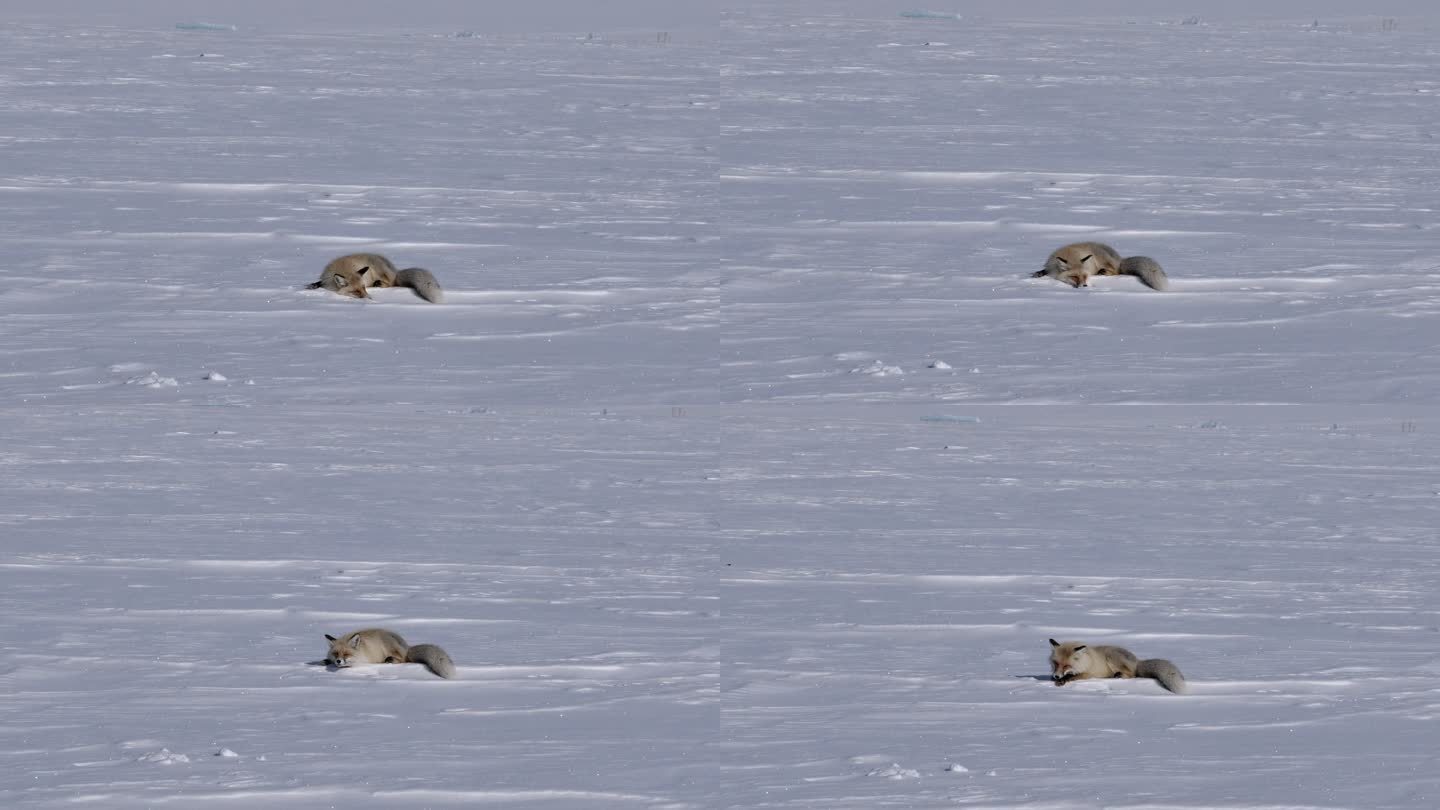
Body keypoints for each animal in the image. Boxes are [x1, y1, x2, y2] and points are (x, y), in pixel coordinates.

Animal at [311, 250, 446, 301]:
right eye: (356, 291)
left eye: (364, 288)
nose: (370, 299)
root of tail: (395, 270)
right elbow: (317, 284)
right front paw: (312, 286)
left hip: (378, 269)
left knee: (391, 283)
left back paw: (378, 283)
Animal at [325, 628, 455, 677]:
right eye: (336, 654)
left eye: (346, 654)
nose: (338, 661)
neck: (362, 650)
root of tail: (406, 647)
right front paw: (325, 661)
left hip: (389, 647)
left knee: (402, 659)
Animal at [1025, 240, 1169, 291]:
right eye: (1074, 277)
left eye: (1085, 277)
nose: (1084, 286)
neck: (1071, 255)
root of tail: (1119, 258)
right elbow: (1043, 271)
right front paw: (1037, 274)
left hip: (1103, 260)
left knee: (1115, 271)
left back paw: (1102, 272)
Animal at [1054, 634, 1186, 691]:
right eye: (1056, 663)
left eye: (1067, 665)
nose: (1056, 676)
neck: (1085, 661)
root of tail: (1137, 661)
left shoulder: (1088, 674)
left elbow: (1072, 677)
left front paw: (1063, 680)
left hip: (1112, 657)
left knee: (1132, 675)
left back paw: (1118, 675)